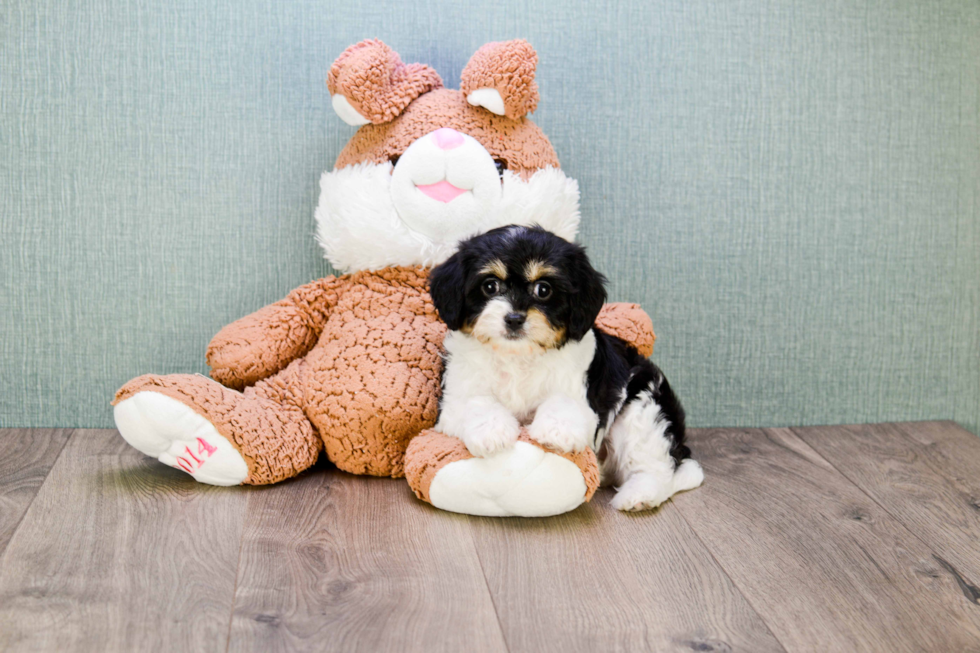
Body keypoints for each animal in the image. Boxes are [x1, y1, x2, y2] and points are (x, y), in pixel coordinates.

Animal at [430, 224, 704, 510]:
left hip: (644, 408)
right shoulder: (455, 396)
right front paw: (492, 432)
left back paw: (639, 495)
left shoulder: (584, 394)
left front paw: (556, 431)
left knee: (659, 468)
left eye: (543, 289)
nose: (514, 318)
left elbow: (564, 402)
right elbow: (476, 402)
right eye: (490, 286)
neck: (518, 355)